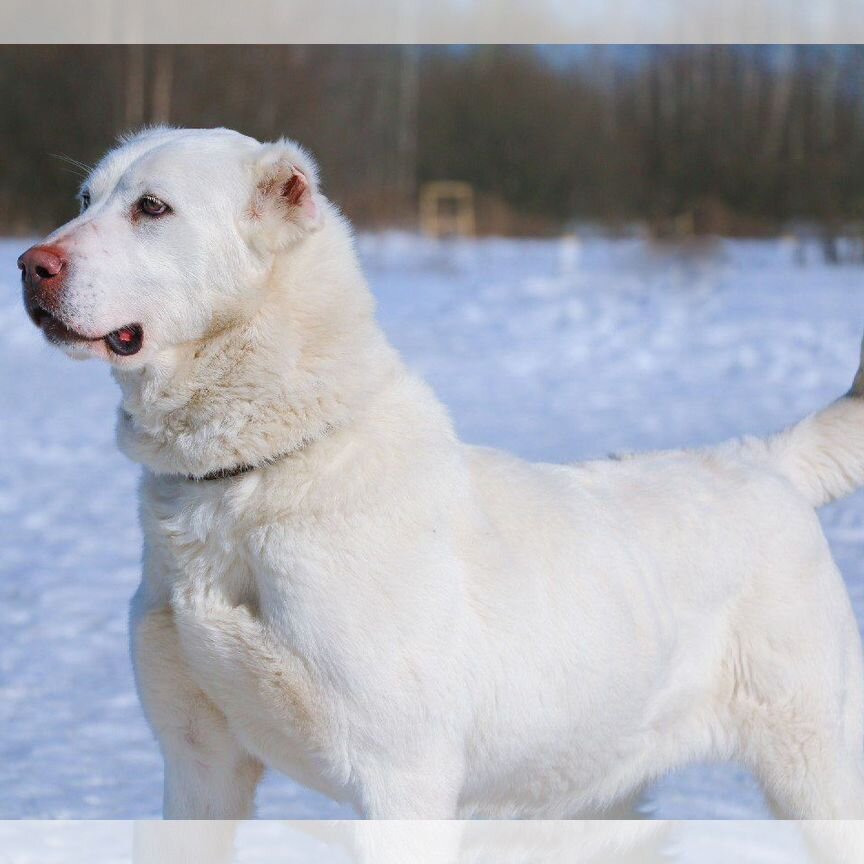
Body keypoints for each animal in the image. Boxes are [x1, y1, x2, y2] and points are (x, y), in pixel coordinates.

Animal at [16, 128, 864, 824]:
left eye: (153, 208)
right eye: (85, 200)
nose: (29, 264)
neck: (246, 476)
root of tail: (763, 459)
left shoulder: (399, 780)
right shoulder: (198, 769)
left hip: (813, 768)